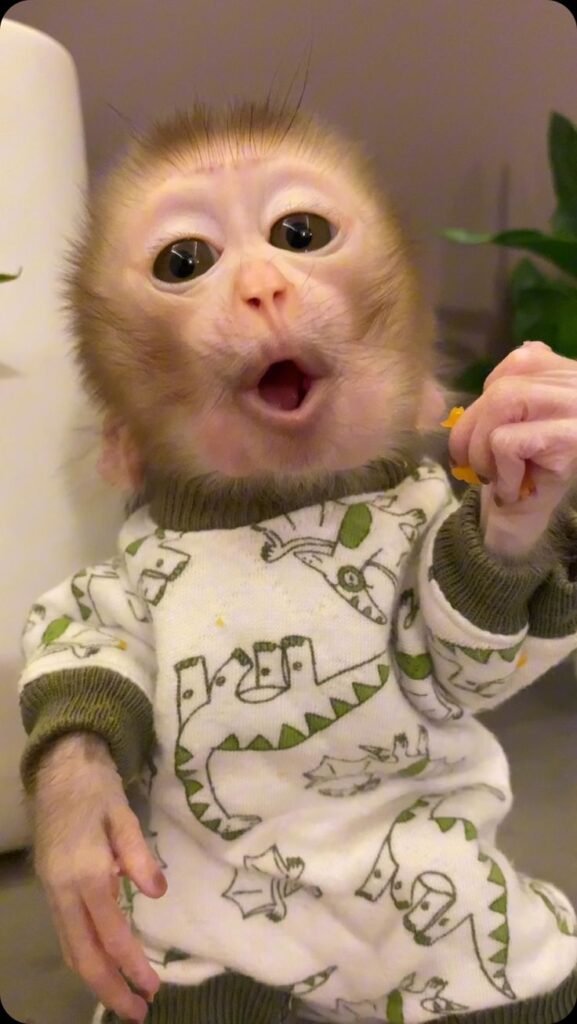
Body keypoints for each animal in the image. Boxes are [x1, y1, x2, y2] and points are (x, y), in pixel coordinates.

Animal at [18, 102, 577, 1024]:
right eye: (184, 261)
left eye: (299, 233)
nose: (263, 288)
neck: (272, 502)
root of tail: (337, 995)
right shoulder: (125, 568)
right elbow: (83, 635)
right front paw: (82, 825)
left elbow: (450, 661)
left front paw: (523, 476)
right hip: (190, 958)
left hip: (473, 909)